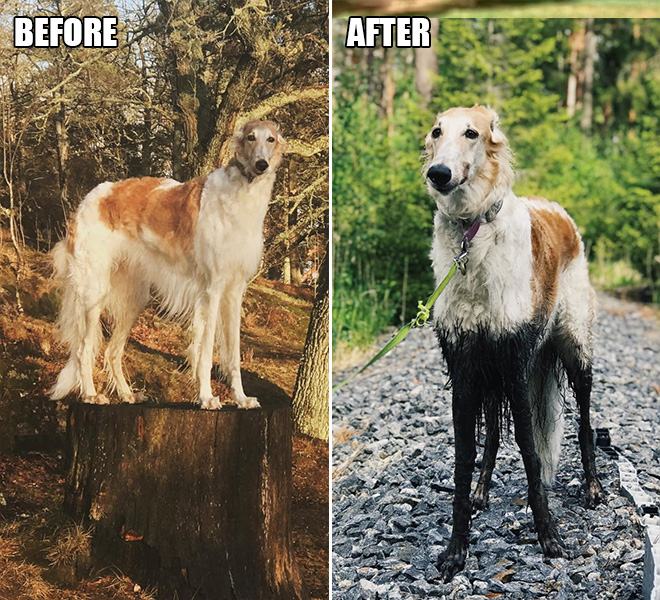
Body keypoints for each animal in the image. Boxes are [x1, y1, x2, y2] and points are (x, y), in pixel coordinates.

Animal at [51, 120, 284, 412]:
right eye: (251, 137)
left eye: (271, 139)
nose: (261, 164)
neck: (242, 196)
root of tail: (89, 198)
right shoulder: (212, 290)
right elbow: (205, 353)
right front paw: (207, 397)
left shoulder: (234, 291)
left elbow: (233, 355)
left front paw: (241, 399)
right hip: (94, 292)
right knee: (84, 350)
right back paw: (91, 395)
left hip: (135, 298)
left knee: (112, 351)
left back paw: (127, 394)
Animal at [426, 106, 604, 580]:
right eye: (436, 132)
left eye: (472, 132)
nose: (438, 173)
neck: (472, 236)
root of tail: (557, 210)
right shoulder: (466, 370)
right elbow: (465, 457)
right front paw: (456, 549)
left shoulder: (517, 365)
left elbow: (530, 452)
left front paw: (549, 537)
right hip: (491, 374)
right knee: (490, 436)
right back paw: (482, 491)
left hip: (575, 349)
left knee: (585, 423)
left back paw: (593, 487)